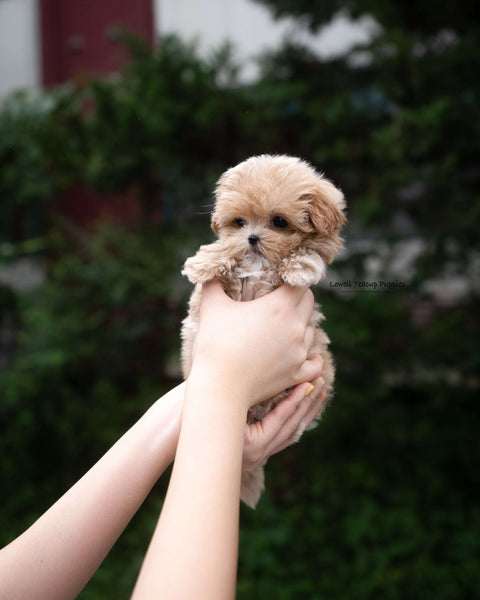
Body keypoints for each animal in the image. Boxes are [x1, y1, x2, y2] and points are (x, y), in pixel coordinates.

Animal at [180, 155, 344, 506]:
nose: (252, 238)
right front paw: (205, 262)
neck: (258, 267)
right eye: (239, 222)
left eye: (279, 222)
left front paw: (300, 265)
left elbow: (309, 252)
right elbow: (223, 253)